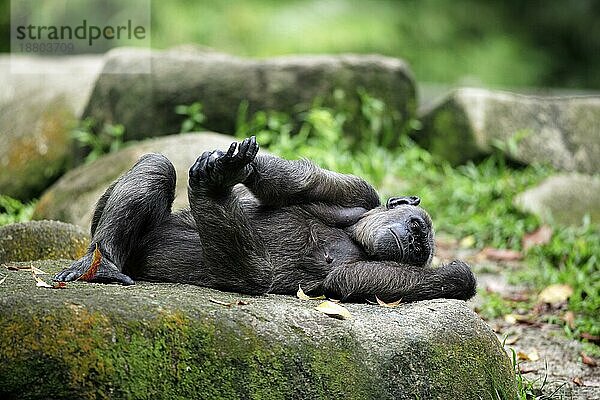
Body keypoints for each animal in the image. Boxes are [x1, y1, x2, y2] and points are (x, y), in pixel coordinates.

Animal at [56, 136, 478, 302]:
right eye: (417, 228)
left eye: (419, 250)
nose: (413, 242)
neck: (354, 233)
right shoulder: (359, 192)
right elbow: (299, 181)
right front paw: (235, 162)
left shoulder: (365, 271)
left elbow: (359, 279)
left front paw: (459, 274)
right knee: (159, 166)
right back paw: (102, 261)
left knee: (255, 274)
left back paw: (210, 187)